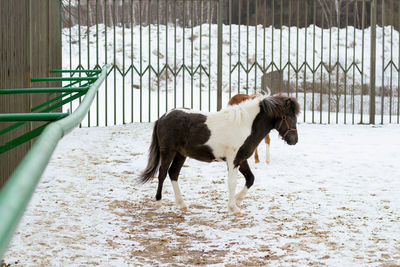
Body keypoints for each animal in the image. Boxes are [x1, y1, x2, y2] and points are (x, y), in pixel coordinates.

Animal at [139, 94, 298, 216]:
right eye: (287, 117)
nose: (294, 140)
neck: (246, 125)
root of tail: (163, 116)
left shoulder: (241, 159)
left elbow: (250, 179)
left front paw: (237, 201)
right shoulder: (233, 160)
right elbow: (232, 183)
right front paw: (234, 207)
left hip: (180, 154)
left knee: (173, 173)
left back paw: (182, 204)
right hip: (168, 152)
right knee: (162, 174)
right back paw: (159, 202)